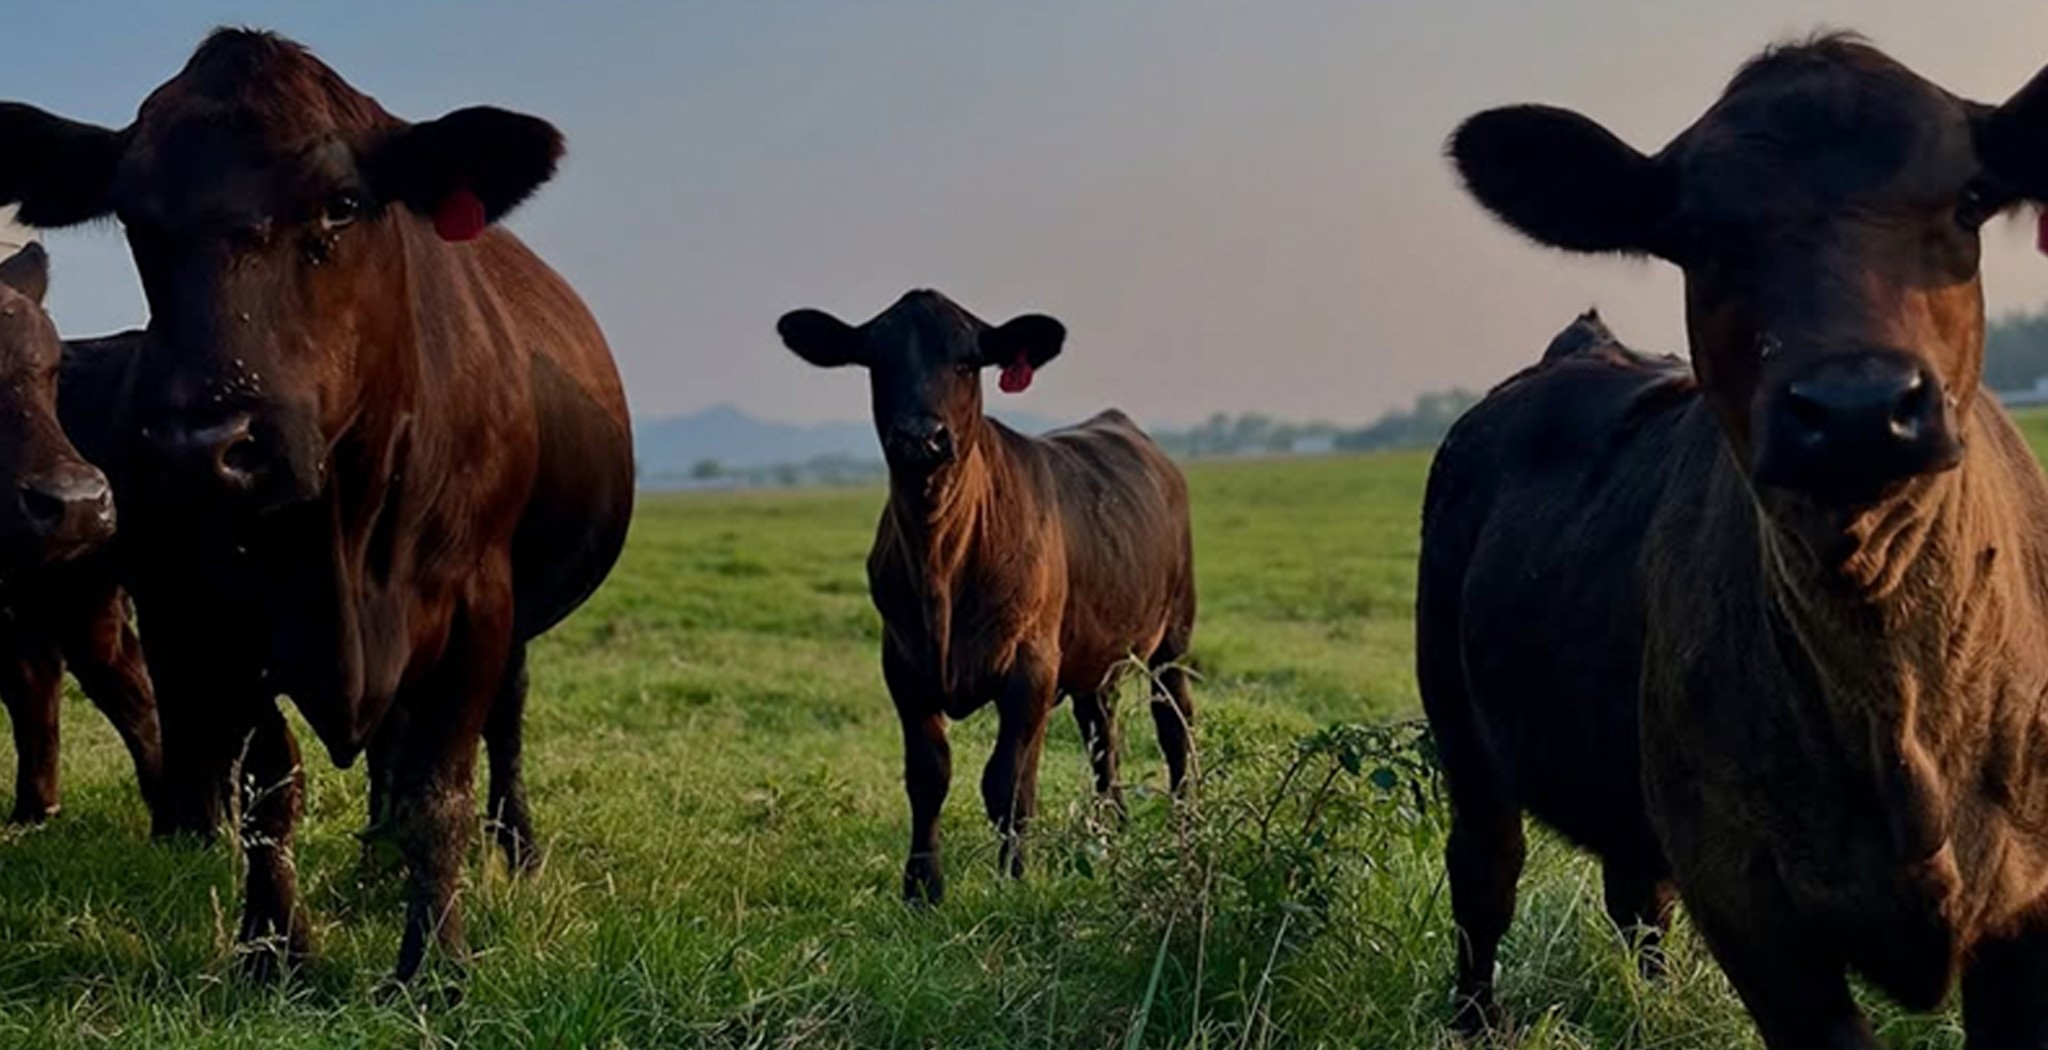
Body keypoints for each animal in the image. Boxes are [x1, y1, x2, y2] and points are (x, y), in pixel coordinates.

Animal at [777, 290, 1196, 904]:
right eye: (877, 360)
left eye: (967, 362)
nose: (920, 438)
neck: (941, 562)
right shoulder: (902, 665)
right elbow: (928, 776)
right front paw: (921, 887)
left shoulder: (1030, 665)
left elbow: (1006, 784)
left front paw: (1012, 879)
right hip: (1096, 654)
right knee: (1103, 731)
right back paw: (1109, 827)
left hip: (1174, 634)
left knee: (1174, 724)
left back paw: (1186, 825)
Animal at [1425, 34, 2048, 1046]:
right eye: (1699, 235)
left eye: (1968, 199)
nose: (1855, 407)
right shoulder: (1752, 908)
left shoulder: (2029, 911)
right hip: (1460, 728)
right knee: (1486, 874)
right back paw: (1478, 1020)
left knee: (1637, 891)